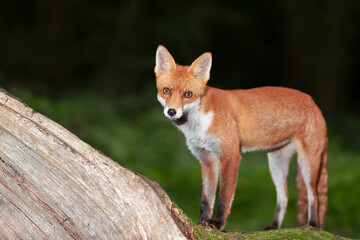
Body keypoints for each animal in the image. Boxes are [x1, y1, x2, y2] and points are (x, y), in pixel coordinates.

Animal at [153, 45, 328, 231]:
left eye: (188, 94)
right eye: (166, 90)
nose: (172, 111)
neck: (198, 125)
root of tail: (312, 101)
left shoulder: (230, 156)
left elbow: (224, 197)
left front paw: (218, 223)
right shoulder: (207, 160)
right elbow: (206, 200)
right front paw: (201, 223)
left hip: (307, 163)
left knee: (313, 196)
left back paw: (314, 226)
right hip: (276, 163)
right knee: (284, 197)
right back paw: (274, 227)